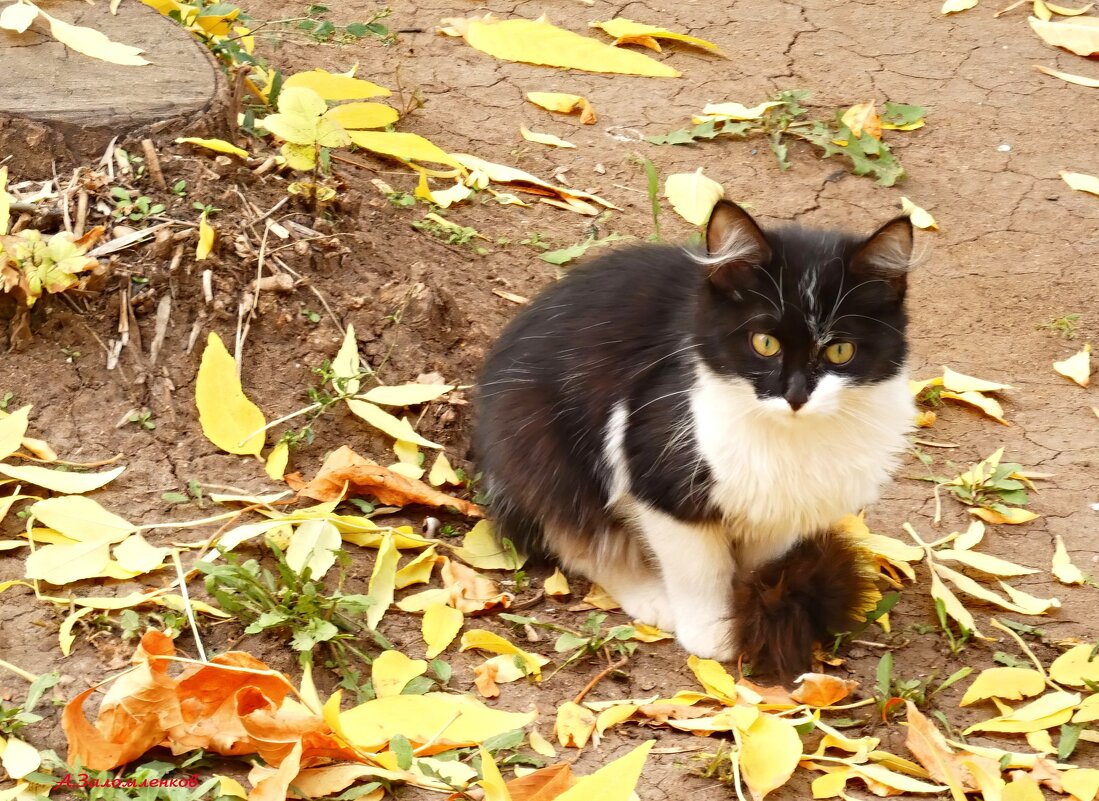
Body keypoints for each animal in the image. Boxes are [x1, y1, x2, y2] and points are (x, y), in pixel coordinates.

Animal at [476, 199, 914, 668]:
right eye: (765, 344)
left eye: (840, 351)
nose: (796, 395)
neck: (790, 438)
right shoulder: (657, 472)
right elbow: (699, 568)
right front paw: (714, 633)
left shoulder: (783, 507)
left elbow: (759, 564)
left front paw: (756, 605)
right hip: (539, 443)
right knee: (573, 533)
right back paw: (649, 595)